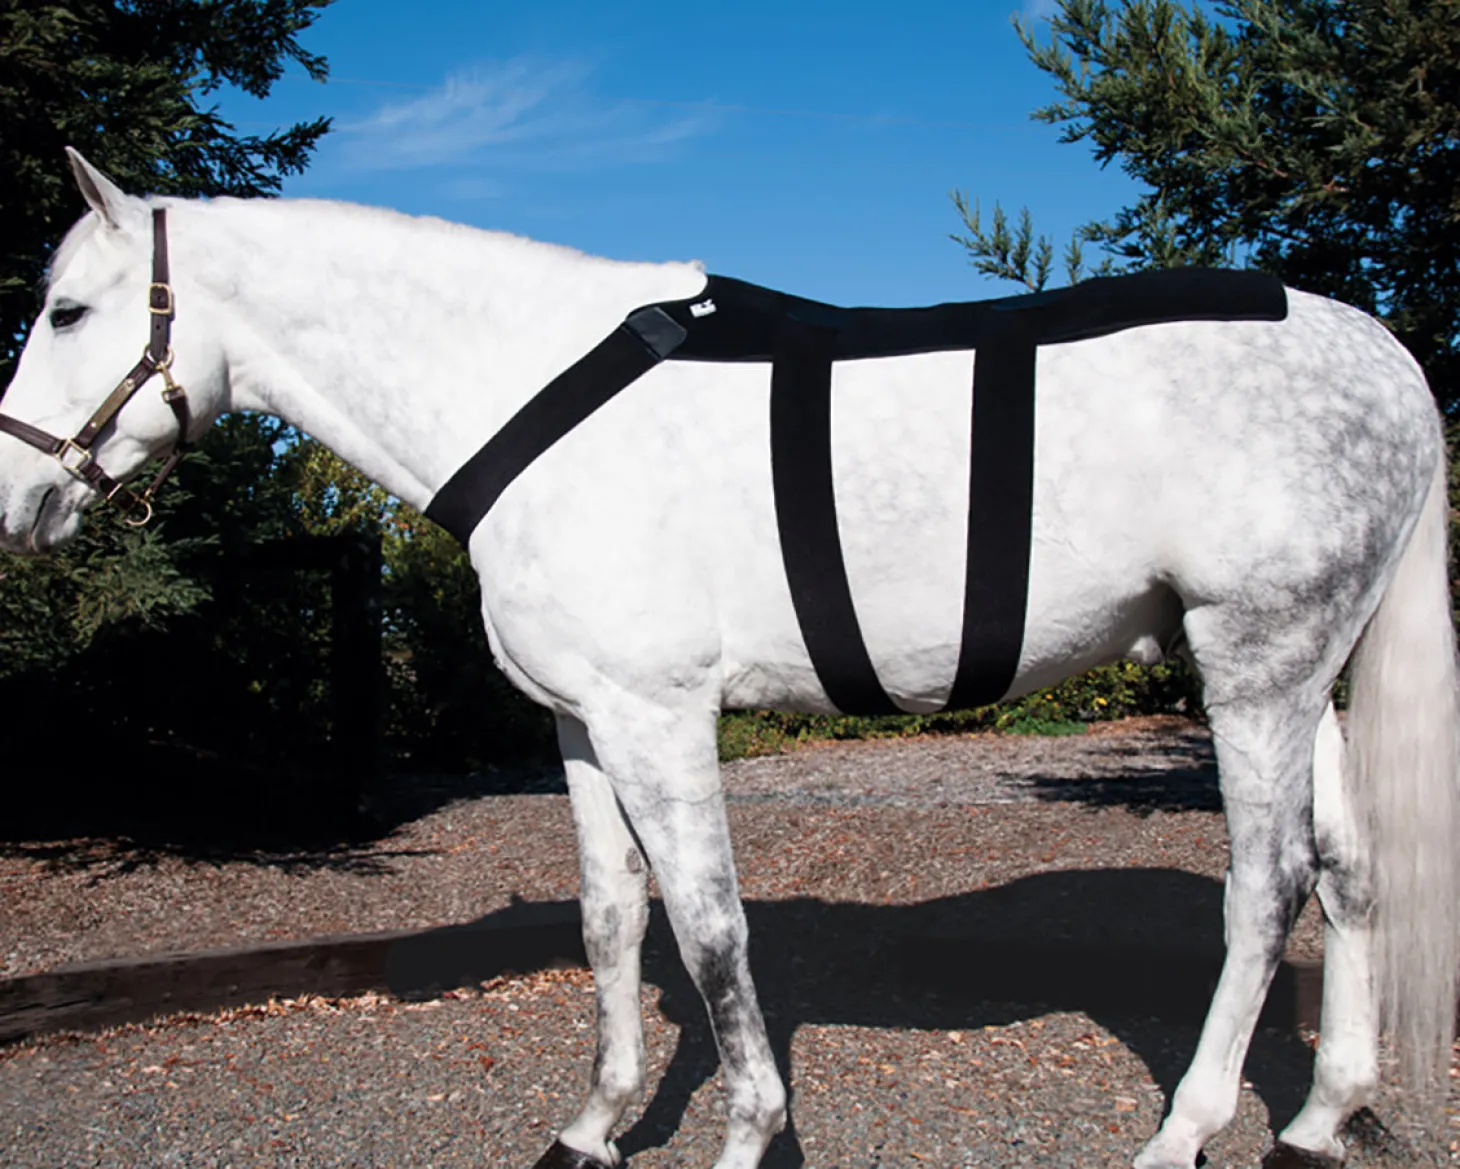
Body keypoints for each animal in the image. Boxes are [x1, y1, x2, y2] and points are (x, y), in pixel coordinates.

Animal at [1, 149, 1455, 1169]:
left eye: (68, 309)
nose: (13, 499)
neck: (535, 394)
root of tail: (1379, 354)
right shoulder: (583, 721)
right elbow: (612, 920)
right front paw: (593, 1124)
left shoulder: (658, 714)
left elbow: (707, 929)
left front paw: (749, 1129)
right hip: (1310, 674)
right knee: (1349, 872)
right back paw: (1318, 1117)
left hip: (1254, 666)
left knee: (1266, 889)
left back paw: (1184, 1128)